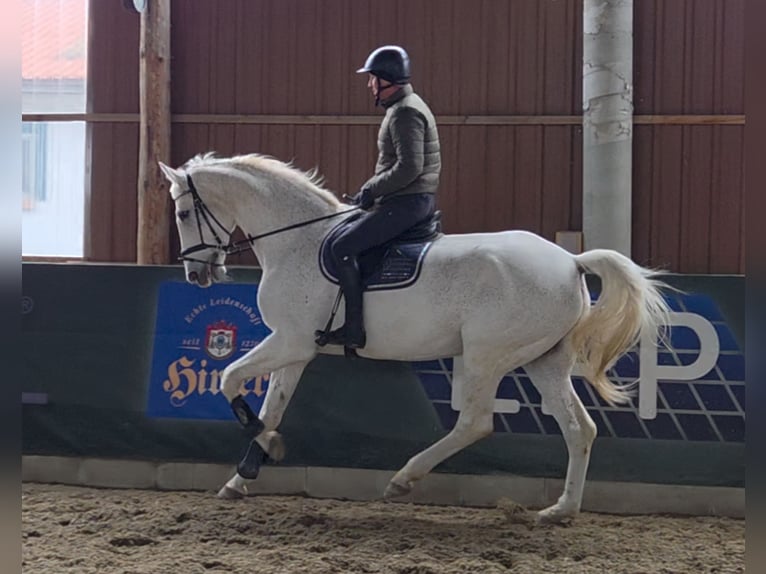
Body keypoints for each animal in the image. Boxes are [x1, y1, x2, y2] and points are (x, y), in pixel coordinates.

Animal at [158, 152, 670, 524]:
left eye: (183, 212)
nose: (196, 274)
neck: (296, 242)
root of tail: (571, 262)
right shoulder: (297, 350)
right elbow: (273, 407)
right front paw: (242, 476)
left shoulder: (290, 341)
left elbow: (229, 378)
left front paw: (265, 447)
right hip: (544, 360)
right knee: (578, 427)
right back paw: (560, 510)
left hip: (487, 355)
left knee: (476, 422)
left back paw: (403, 479)